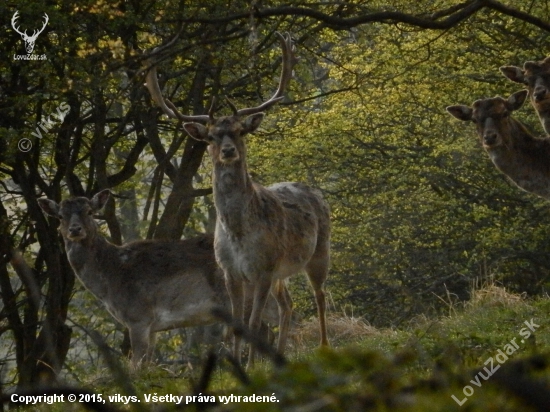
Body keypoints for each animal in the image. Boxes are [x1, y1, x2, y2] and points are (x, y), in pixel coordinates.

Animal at [37, 189, 284, 366]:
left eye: (89, 211)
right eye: (60, 216)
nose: (75, 230)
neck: (110, 278)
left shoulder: (138, 317)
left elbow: (135, 366)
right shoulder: (153, 326)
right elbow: (148, 365)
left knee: (264, 331)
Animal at [144, 33, 330, 366]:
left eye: (240, 131)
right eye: (211, 136)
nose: (228, 150)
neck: (239, 233)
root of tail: (315, 192)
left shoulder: (263, 268)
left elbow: (254, 323)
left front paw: (251, 365)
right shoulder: (231, 272)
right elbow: (236, 325)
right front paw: (239, 363)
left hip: (319, 251)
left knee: (320, 296)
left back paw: (324, 346)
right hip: (282, 274)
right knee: (288, 304)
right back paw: (280, 355)